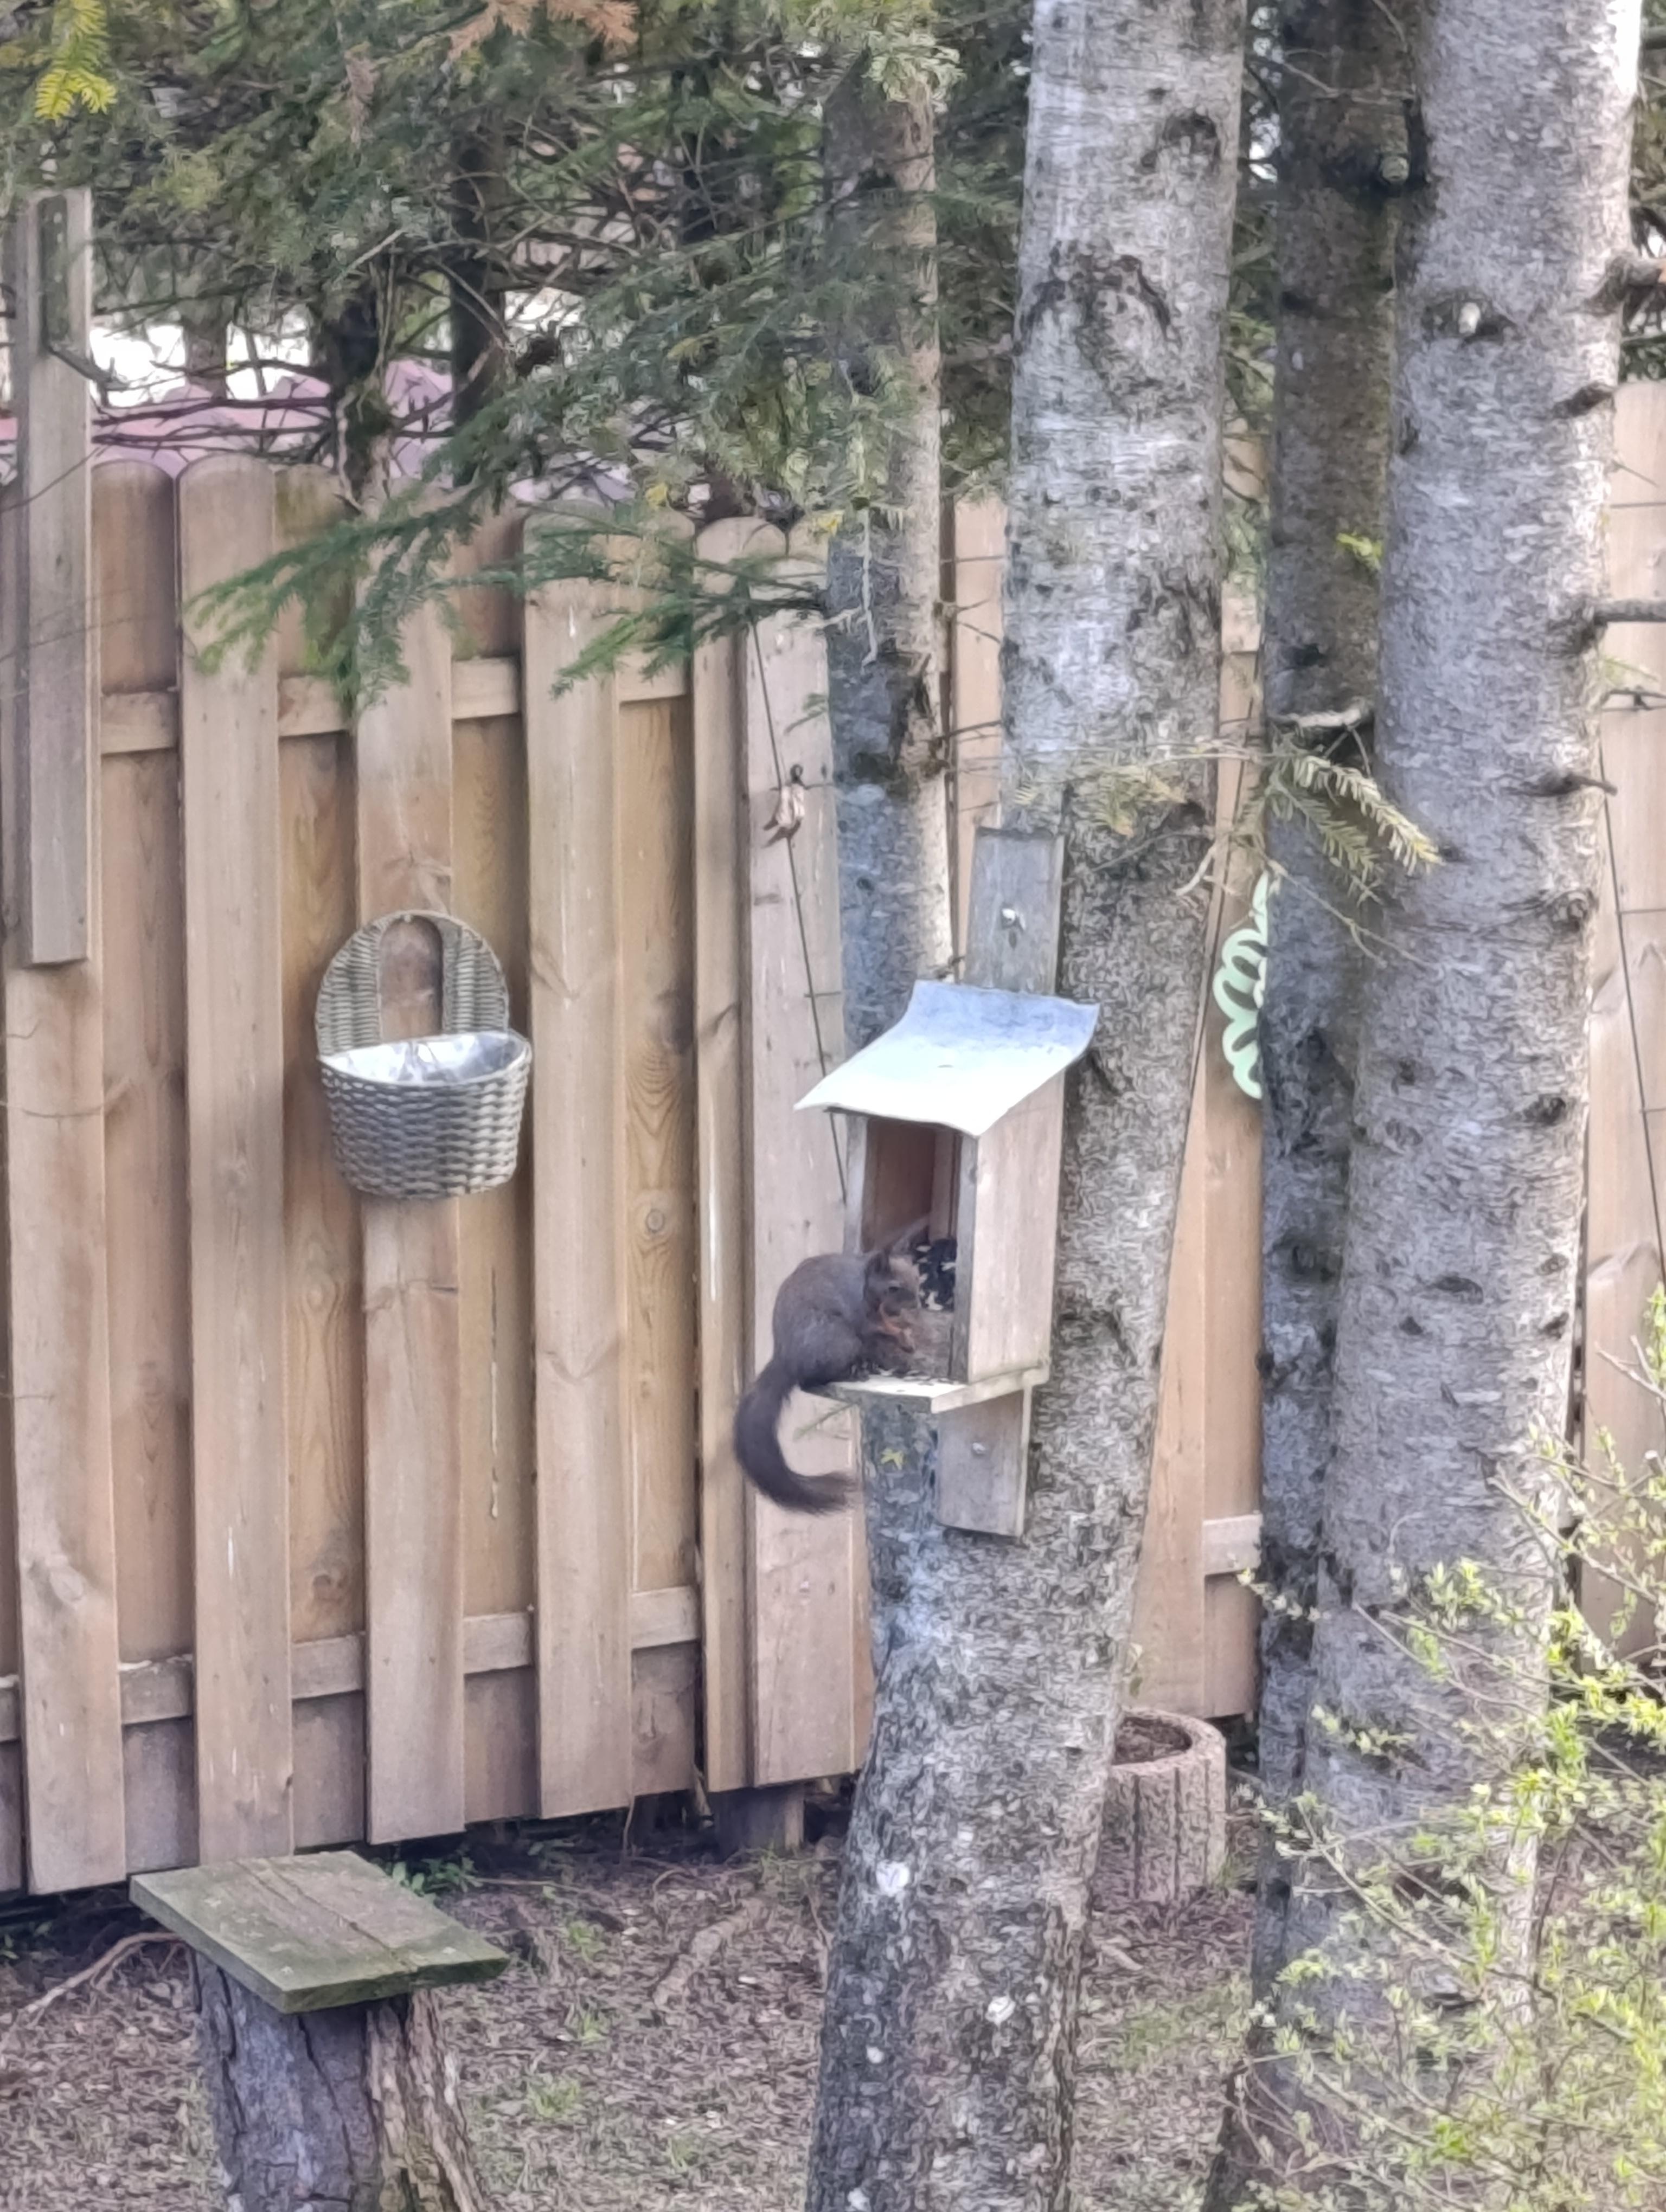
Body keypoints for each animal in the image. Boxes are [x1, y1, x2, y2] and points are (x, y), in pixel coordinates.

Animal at [733, 1229, 923, 1515]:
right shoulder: (860, 1310)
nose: (916, 1306)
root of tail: (787, 1359)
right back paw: (853, 1373)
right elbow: (875, 1327)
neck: (866, 1282)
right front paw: (903, 1338)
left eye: (917, 1276)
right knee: (812, 1380)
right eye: (893, 1287)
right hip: (839, 1340)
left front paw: (907, 1334)